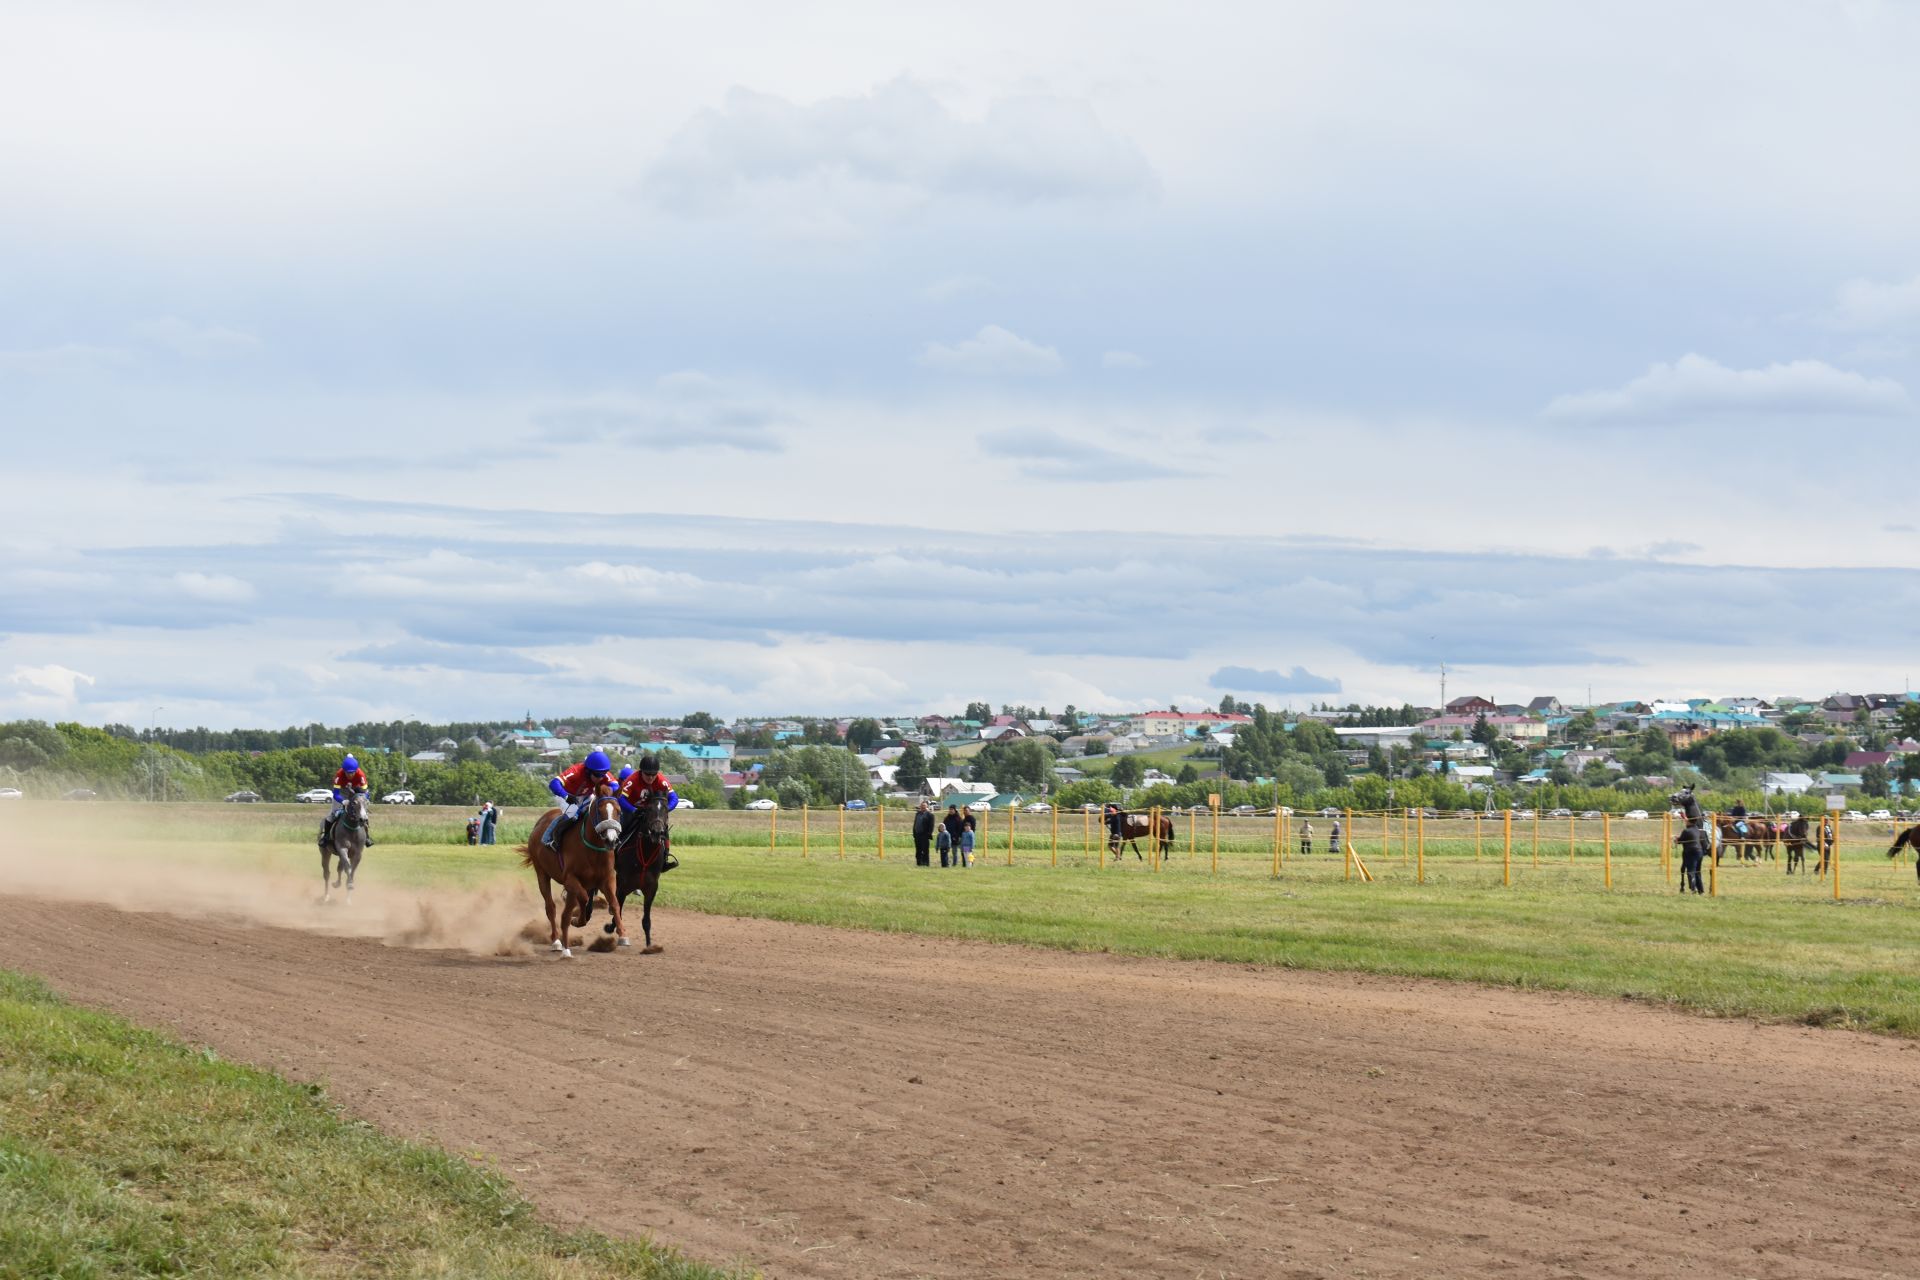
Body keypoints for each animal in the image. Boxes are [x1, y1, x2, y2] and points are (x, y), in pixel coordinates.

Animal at [522, 790, 625, 959]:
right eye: (599, 811)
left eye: (619, 811)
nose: (612, 840)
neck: (593, 849)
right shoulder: (570, 879)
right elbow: (582, 899)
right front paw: (577, 920)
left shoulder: (607, 878)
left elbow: (615, 903)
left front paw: (622, 934)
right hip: (542, 873)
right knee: (551, 907)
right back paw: (557, 942)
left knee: (565, 912)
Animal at [610, 786, 687, 955]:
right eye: (649, 809)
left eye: (665, 810)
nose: (657, 832)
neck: (645, 852)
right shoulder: (623, 884)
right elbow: (618, 908)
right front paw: (613, 929)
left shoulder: (651, 887)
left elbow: (646, 920)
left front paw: (649, 946)